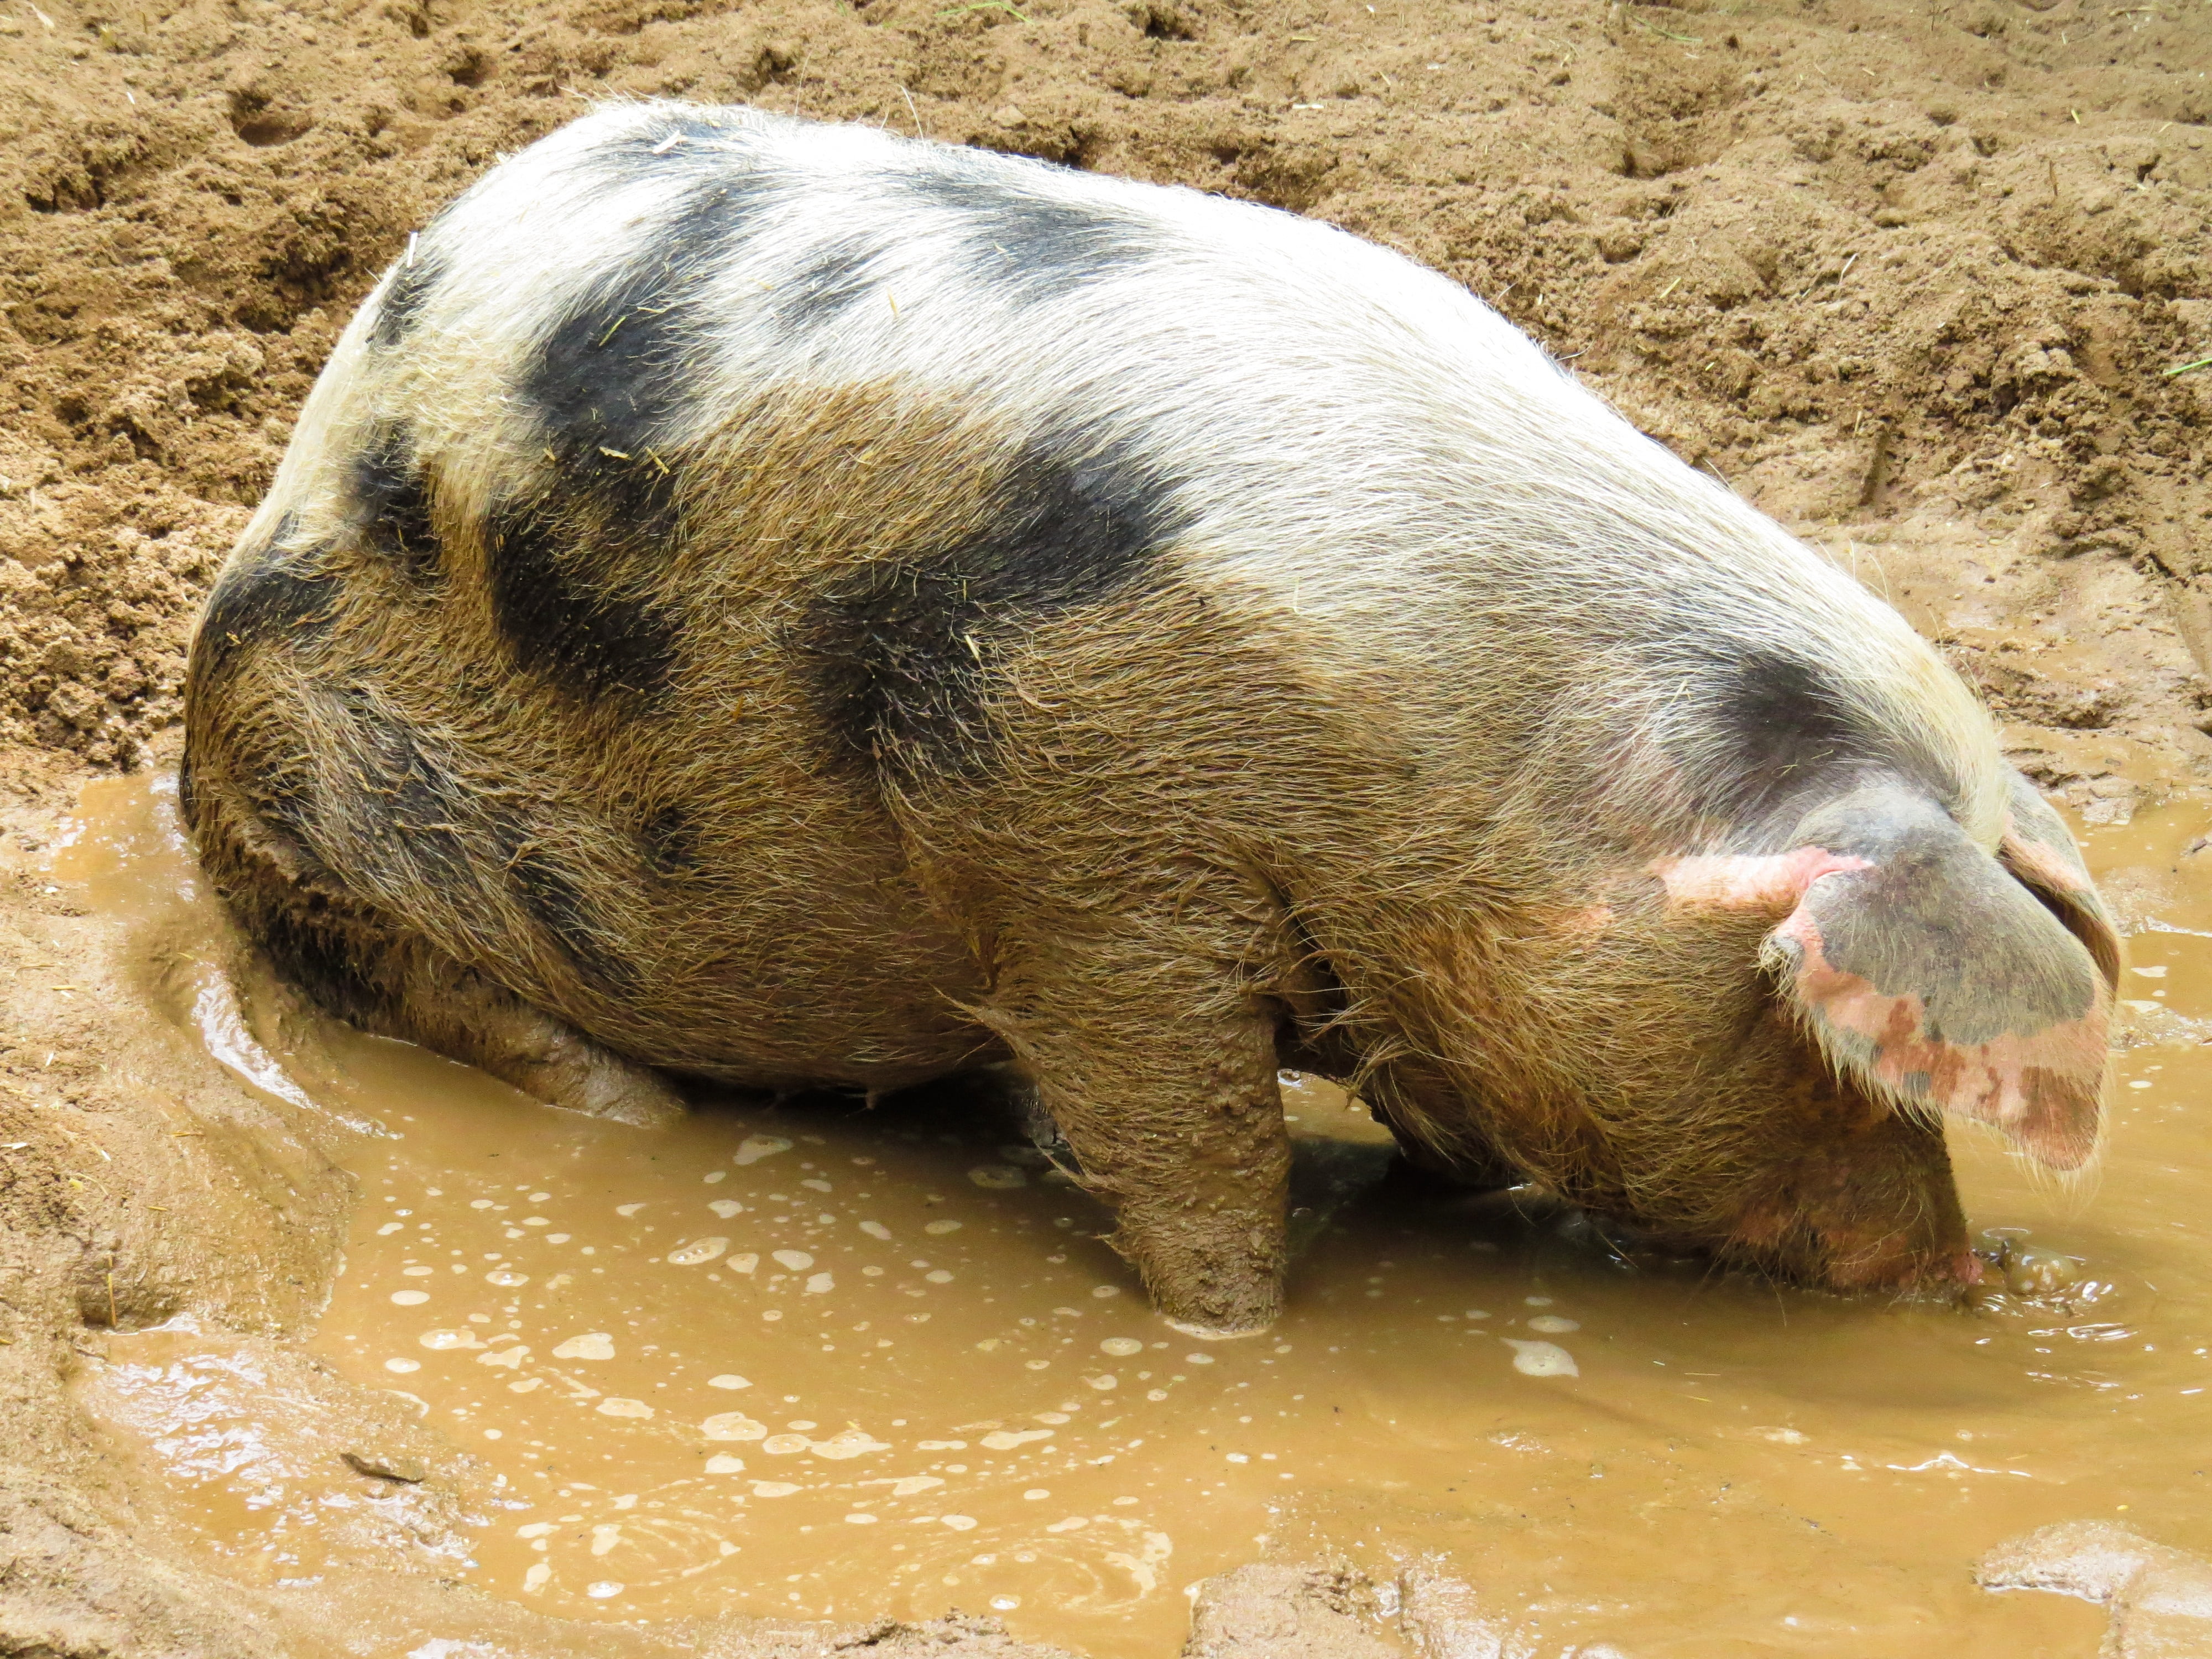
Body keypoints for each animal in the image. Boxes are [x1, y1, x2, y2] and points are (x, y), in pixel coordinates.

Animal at [179, 100, 2119, 1337]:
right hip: (300, 779)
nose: (1973, 1276)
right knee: (462, 1006)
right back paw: (620, 1099)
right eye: (1814, 1041)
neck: (1487, 751)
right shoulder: (1064, 830)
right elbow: (1190, 1144)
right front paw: (1238, 1348)